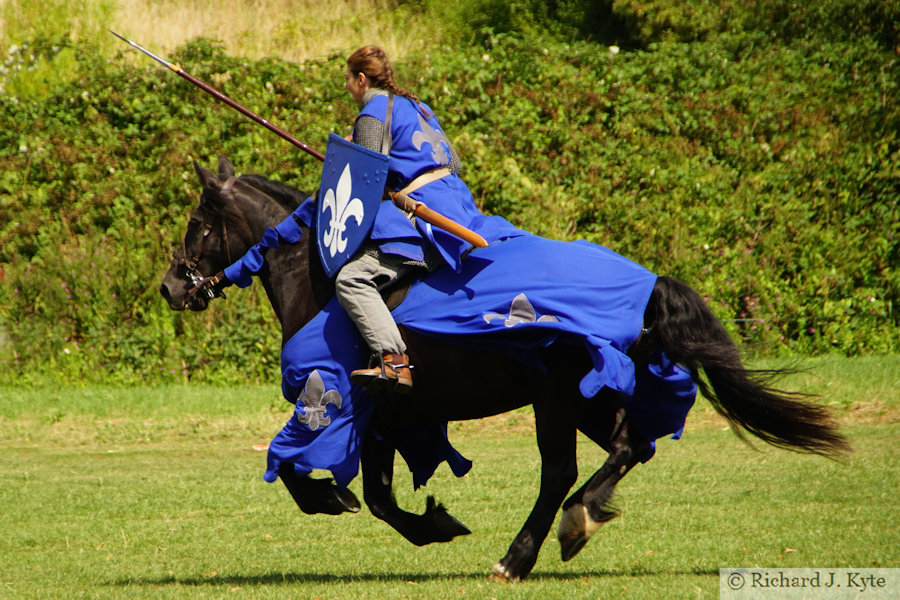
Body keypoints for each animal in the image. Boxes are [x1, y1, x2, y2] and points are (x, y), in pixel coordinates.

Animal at [163, 158, 852, 580]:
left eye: (196, 223)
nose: (172, 286)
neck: (325, 281)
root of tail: (648, 284)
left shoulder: (344, 402)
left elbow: (311, 475)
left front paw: (355, 503)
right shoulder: (389, 417)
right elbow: (379, 497)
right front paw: (431, 521)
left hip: (558, 399)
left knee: (562, 471)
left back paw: (521, 555)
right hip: (590, 397)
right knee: (630, 445)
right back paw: (581, 520)